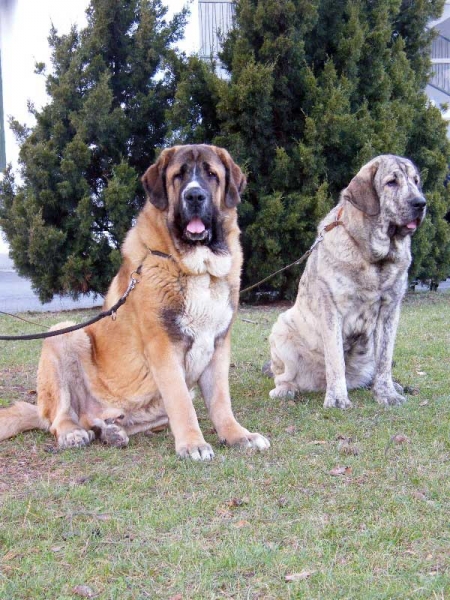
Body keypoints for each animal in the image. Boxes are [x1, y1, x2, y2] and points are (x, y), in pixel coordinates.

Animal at [0, 144, 268, 460]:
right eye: (178, 176)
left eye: (211, 174)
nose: (194, 196)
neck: (197, 267)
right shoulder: (163, 348)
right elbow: (182, 403)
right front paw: (193, 444)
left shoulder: (218, 345)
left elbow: (221, 401)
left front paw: (238, 435)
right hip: (62, 335)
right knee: (59, 416)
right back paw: (72, 432)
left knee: (103, 419)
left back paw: (112, 431)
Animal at [268, 155, 428, 408]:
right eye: (391, 182)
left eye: (416, 181)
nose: (420, 203)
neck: (374, 257)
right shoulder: (332, 309)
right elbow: (335, 359)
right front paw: (336, 399)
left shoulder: (390, 310)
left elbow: (385, 359)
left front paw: (387, 393)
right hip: (281, 330)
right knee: (284, 375)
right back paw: (285, 390)